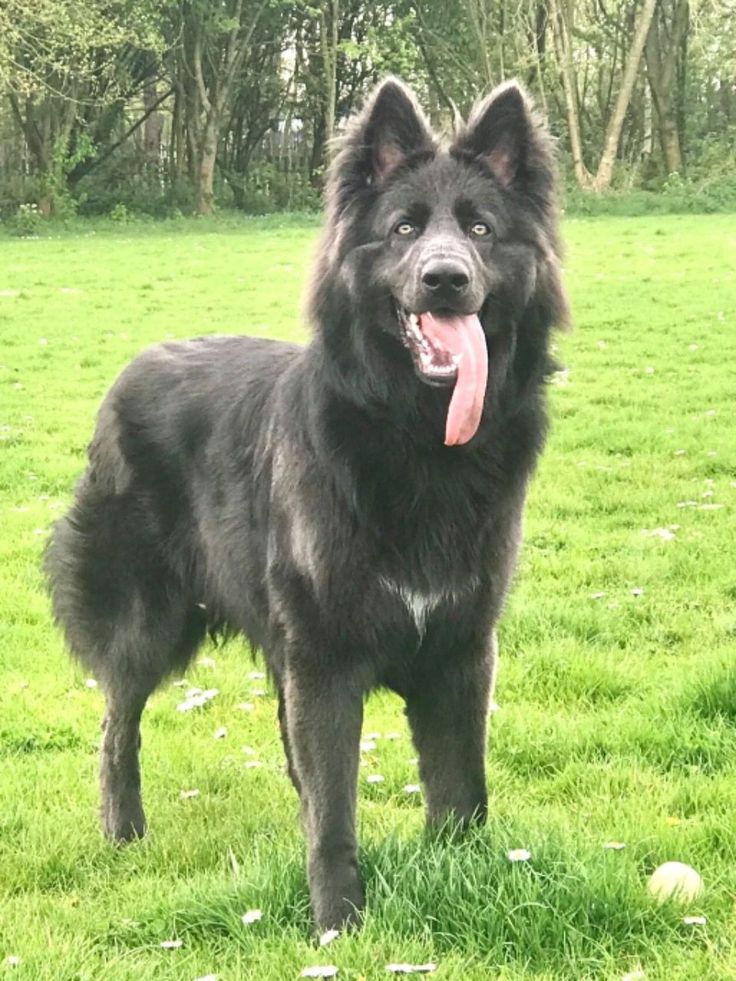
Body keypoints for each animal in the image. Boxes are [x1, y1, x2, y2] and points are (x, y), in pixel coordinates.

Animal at [46, 76, 568, 928]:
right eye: (403, 229)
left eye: (480, 229)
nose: (445, 278)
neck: (415, 439)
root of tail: (128, 375)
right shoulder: (323, 659)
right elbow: (334, 807)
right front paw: (337, 922)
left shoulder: (459, 652)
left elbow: (459, 790)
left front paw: (463, 878)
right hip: (147, 623)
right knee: (117, 724)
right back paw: (123, 828)